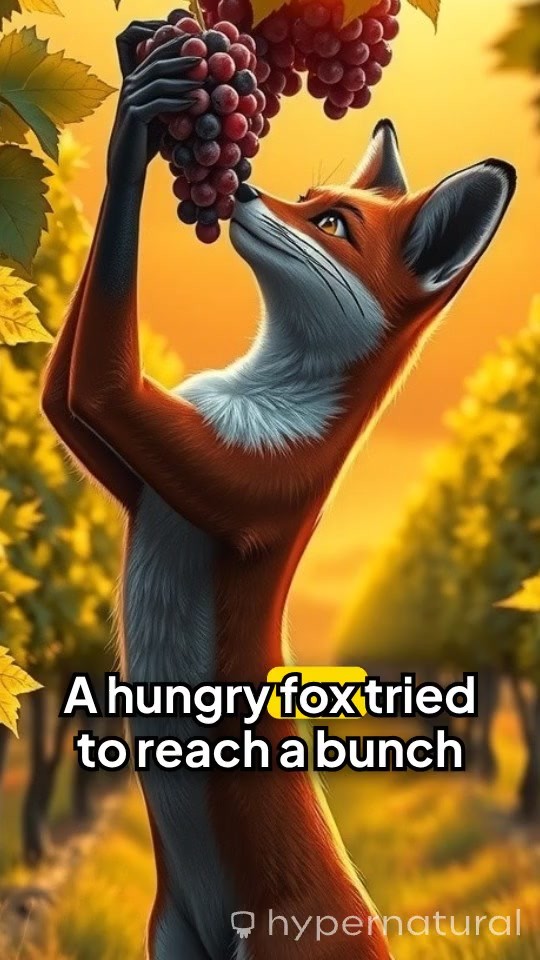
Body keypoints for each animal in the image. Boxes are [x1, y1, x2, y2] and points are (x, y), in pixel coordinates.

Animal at [41, 18, 516, 960]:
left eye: (332, 224)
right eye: (306, 195)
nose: (247, 186)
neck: (264, 392)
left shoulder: (241, 480)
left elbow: (97, 379)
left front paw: (133, 135)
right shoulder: (135, 473)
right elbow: (56, 394)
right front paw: (138, 62)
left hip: (272, 942)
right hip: (168, 939)